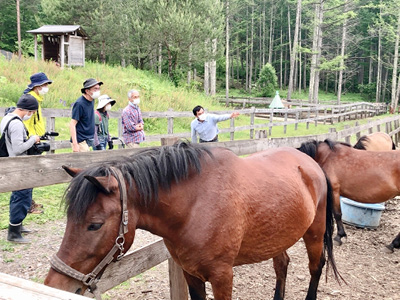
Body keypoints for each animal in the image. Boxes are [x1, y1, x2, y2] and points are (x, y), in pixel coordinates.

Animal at [43, 141, 340, 300]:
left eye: (94, 224)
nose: (54, 285)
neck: (194, 206)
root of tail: (309, 162)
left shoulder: (222, 276)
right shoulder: (191, 274)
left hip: (314, 234)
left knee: (316, 267)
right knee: (282, 266)